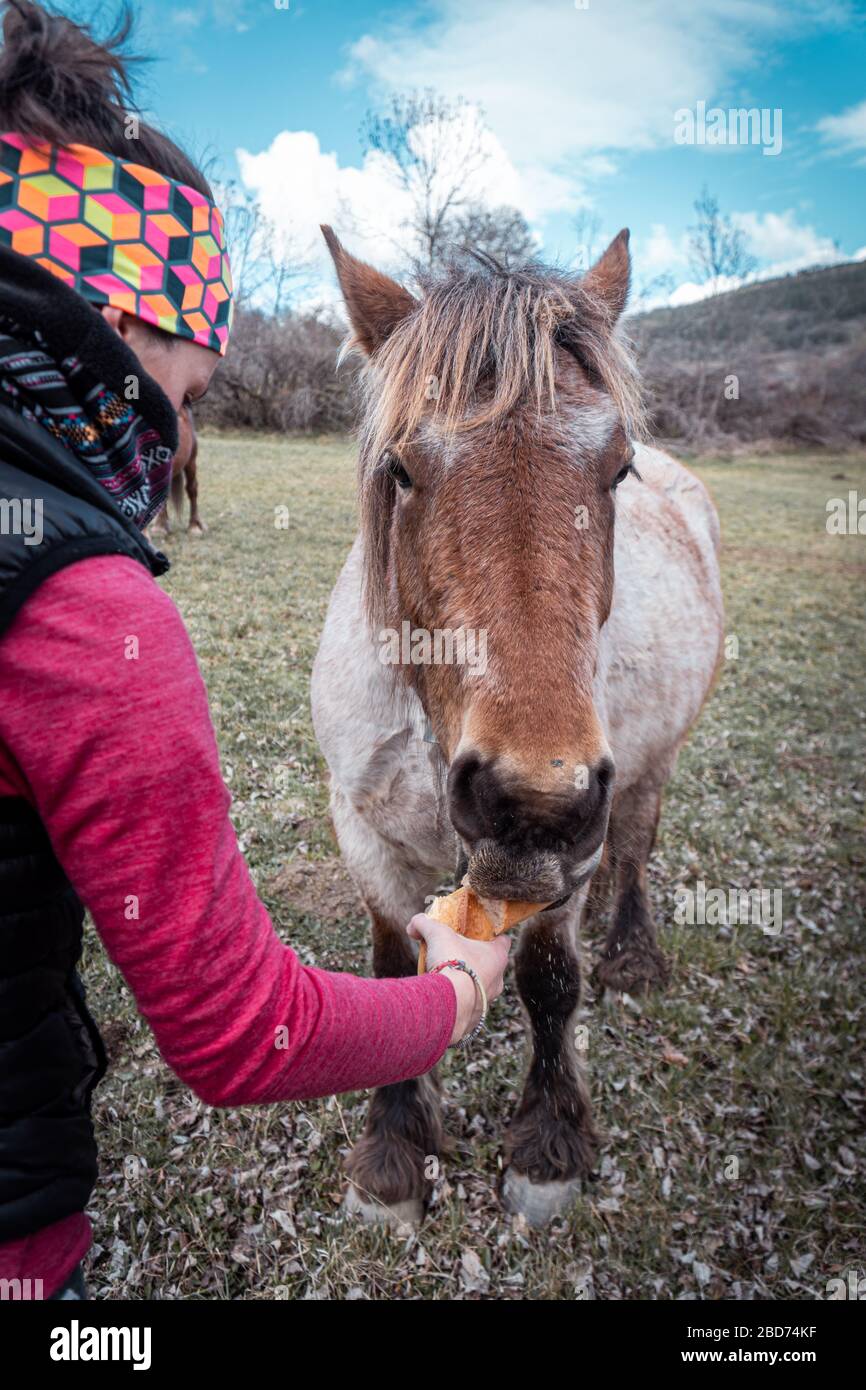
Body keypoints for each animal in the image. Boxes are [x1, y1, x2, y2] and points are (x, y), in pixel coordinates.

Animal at [311, 225, 724, 1228]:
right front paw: (393, 1154)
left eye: (617, 467)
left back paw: (633, 951)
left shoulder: (567, 853)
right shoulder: (362, 833)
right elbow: (394, 971)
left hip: (648, 772)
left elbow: (548, 981)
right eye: (402, 468)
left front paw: (546, 1148)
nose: (533, 801)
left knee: (635, 850)